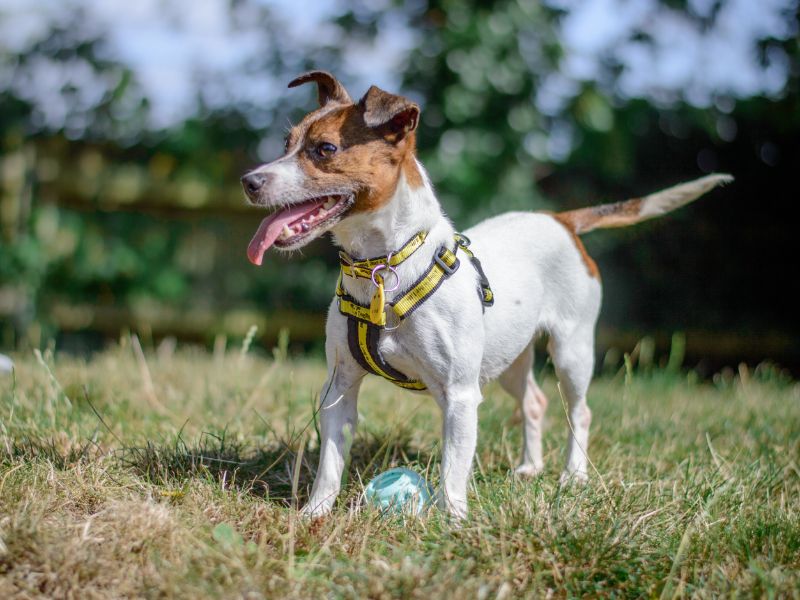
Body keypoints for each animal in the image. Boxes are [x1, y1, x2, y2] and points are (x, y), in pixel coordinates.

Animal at [241, 71, 736, 520]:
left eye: (325, 150)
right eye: (285, 144)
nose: (250, 181)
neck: (384, 269)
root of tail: (561, 220)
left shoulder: (461, 396)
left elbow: (452, 468)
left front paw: (452, 522)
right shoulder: (339, 388)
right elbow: (330, 461)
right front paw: (315, 513)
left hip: (571, 351)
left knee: (580, 412)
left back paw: (573, 475)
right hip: (508, 359)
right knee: (534, 401)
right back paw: (530, 467)